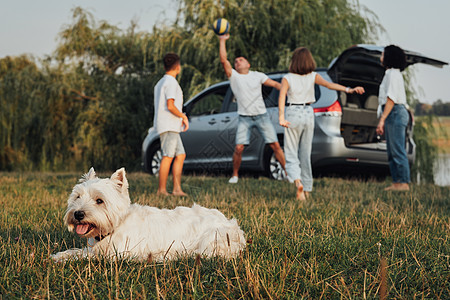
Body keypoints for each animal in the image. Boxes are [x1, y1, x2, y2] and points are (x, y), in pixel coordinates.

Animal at [51, 168, 246, 262]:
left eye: (99, 200)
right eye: (77, 197)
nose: (78, 214)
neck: (116, 226)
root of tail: (234, 226)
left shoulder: (118, 254)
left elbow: (86, 256)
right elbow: (77, 250)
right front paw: (58, 255)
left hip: (211, 242)